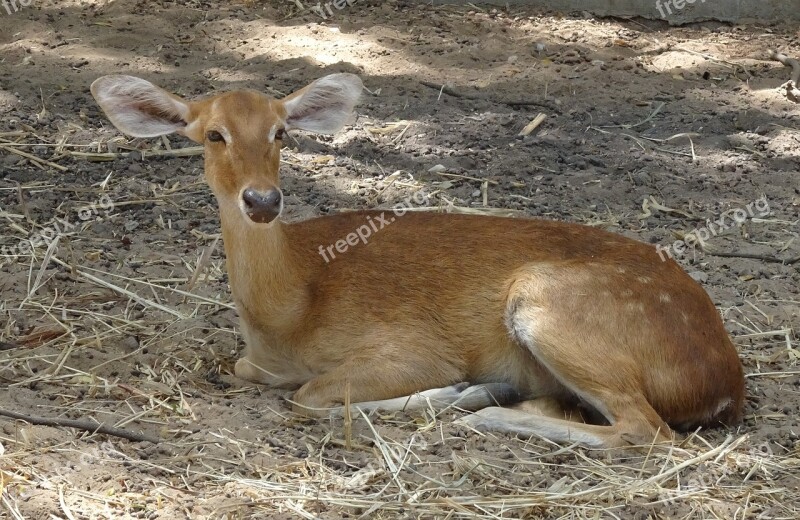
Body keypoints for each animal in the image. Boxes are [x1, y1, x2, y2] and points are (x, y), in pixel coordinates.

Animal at [90, 72, 748, 446]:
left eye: (282, 132)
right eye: (212, 134)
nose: (262, 200)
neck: (291, 307)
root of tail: (725, 383)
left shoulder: (410, 345)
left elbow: (312, 396)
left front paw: (457, 392)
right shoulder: (255, 361)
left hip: (548, 304)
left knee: (647, 431)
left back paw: (482, 410)